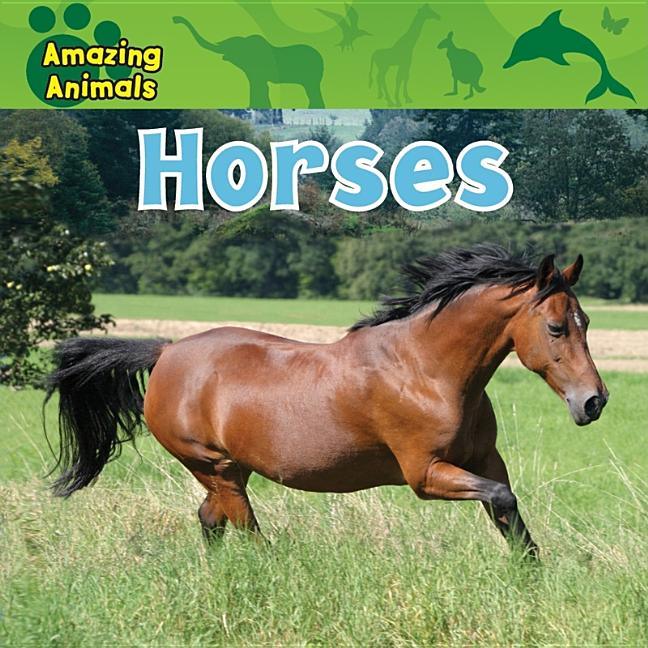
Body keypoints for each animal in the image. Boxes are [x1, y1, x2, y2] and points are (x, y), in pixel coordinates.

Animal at [45, 244, 608, 558]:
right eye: (556, 328)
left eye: (585, 321)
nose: (594, 402)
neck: (426, 371)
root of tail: (164, 353)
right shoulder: (425, 475)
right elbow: (501, 499)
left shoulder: (485, 460)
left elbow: (507, 510)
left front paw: (532, 576)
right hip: (215, 467)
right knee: (245, 529)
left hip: (228, 471)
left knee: (211, 521)